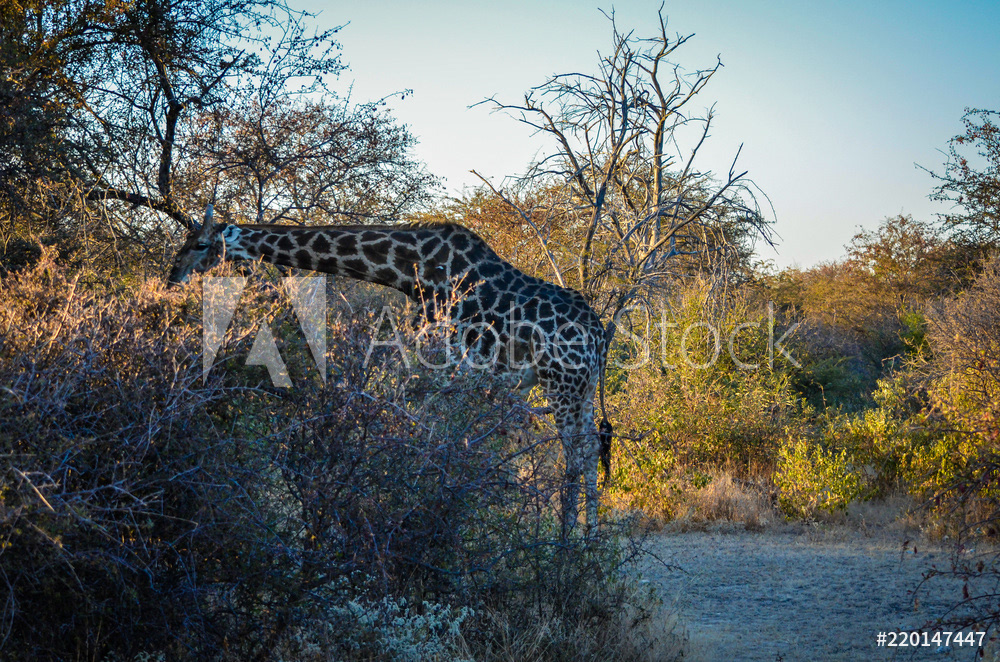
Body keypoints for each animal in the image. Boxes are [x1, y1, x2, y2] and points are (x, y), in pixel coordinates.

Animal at [168, 206, 614, 533]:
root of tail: (599, 335)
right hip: (584, 387)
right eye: (185, 241)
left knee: (575, 452)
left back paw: (564, 546)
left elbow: (429, 431)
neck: (411, 269)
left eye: (201, 243)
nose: (173, 276)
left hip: (561, 383)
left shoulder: (437, 355)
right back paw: (590, 540)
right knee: (592, 446)